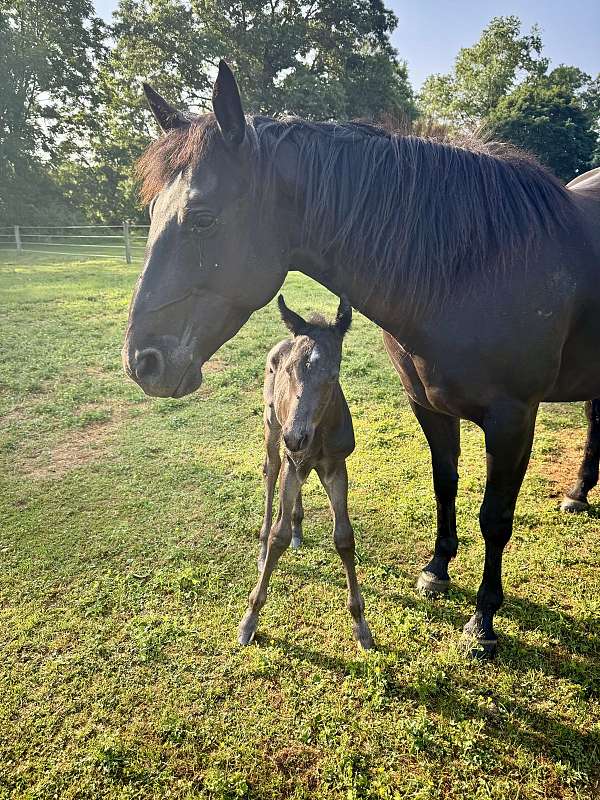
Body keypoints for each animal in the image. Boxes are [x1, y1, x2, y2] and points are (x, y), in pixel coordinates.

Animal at [238, 294, 374, 648]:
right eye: (288, 370)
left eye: (334, 374)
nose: (296, 436)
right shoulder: (292, 458)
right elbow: (278, 536)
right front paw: (250, 618)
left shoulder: (336, 467)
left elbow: (344, 538)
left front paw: (361, 624)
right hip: (272, 430)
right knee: (271, 472)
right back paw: (262, 546)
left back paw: (298, 526)